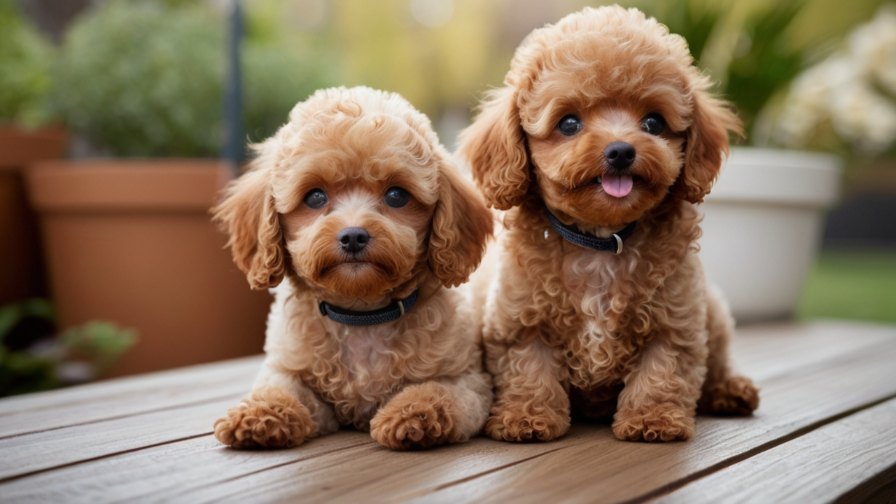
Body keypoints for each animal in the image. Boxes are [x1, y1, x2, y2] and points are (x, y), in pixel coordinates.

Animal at [214, 85, 494, 448]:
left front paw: (413, 414)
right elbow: (280, 387)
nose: (353, 236)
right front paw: (258, 414)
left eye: (396, 195)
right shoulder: (286, 367)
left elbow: (437, 391)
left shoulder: (467, 380)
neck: (362, 314)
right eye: (315, 197)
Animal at [458, 5, 760, 442]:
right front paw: (526, 418)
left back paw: (730, 390)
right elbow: (530, 370)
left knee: (718, 361)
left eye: (653, 123)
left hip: (714, 314)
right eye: (568, 123)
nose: (620, 151)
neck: (601, 240)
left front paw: (652, 420)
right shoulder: (519, 323)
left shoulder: (675, 322)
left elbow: (662, 371)